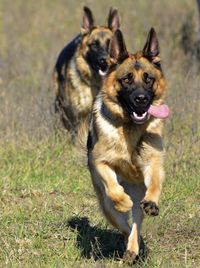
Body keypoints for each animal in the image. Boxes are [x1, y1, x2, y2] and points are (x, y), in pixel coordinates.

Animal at [86, 28, 170, 262]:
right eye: (127, 80)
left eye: (148, 79)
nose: (141, 99)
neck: (131, 128)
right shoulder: (100, 162)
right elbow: (113, 188)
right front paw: (122, 200)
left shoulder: (154, 163)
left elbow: (155, 184)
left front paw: (152, 202)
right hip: (106, 206)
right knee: (123, 224)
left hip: (138, 195)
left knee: (135, 224)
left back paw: (133, 248)